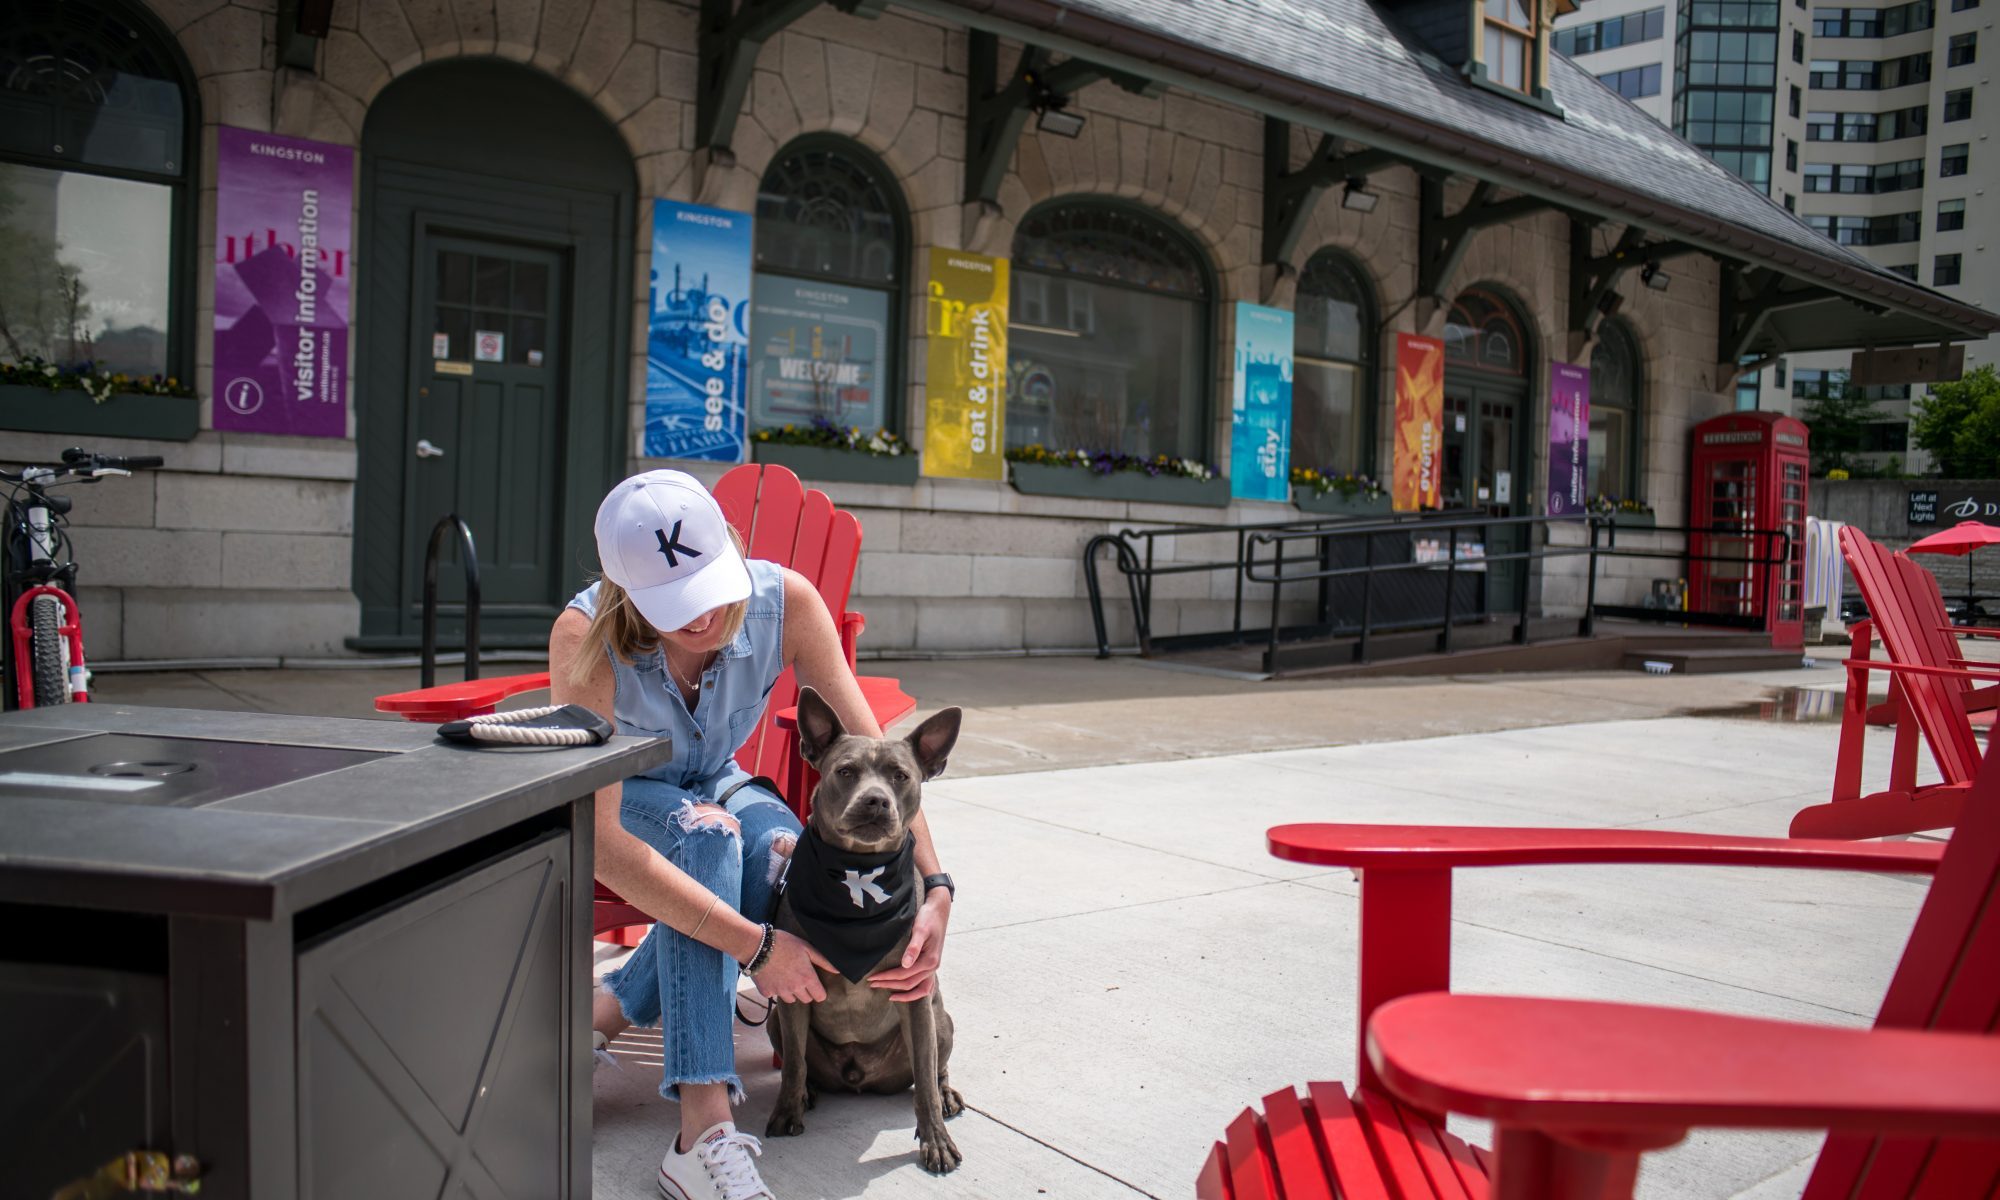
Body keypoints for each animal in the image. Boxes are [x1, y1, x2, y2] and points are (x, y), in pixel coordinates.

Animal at [760, 688, 964, 1176]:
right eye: (846, 771)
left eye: (901, 776)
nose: (875, 801)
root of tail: (859, 1076)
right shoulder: (793, 993)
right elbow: (792, 1066)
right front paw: (786, 1110)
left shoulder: (915, 997)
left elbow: (924, 1081)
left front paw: (935, 1140)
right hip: (776, 1019)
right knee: (800, 1061)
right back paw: (808, 1092)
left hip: (940, 1019)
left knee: (933, 1070)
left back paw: (946, 1092)